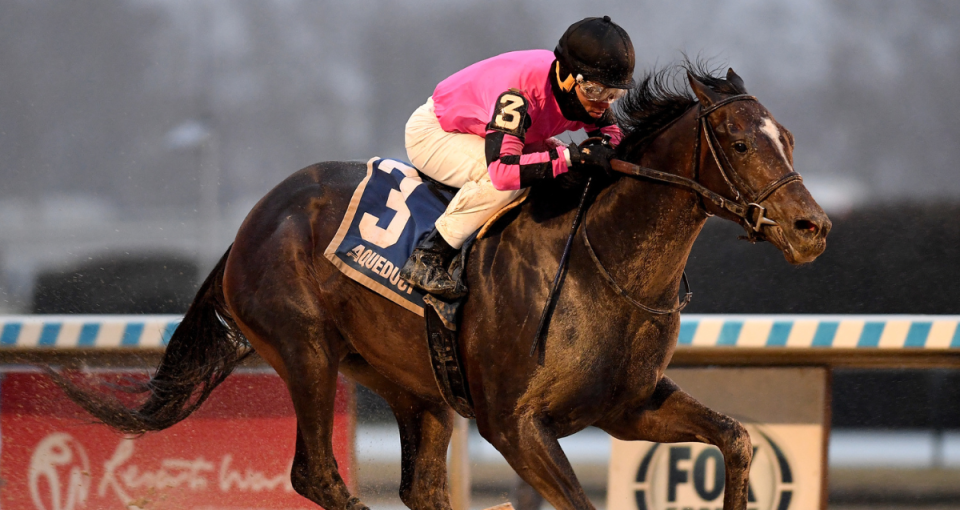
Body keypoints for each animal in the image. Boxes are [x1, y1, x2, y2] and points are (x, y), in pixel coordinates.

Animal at [50, 67, 832, 510]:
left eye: (790, 138)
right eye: (739, 141)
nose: (812, 227)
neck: (600, 264)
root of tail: (254, 218)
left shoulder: (627, 405)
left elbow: (737, 439)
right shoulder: (512, 425)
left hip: (411, 387)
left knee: (418, 486)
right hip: (306, 353)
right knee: (316, 476)